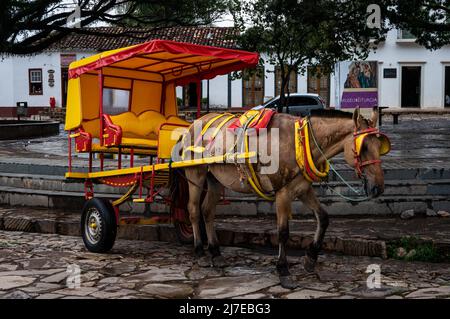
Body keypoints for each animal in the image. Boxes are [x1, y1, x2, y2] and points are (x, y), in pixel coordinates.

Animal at [178, 107, 388, 290]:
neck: (301, 141)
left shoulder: (302, 189)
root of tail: (193, 122)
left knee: (207, 211)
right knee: (194, 210)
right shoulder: (283, 194)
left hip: (215, 179)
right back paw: (200, 252)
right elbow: (283, 232)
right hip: (195, 173)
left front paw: (311, 258)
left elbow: (323, 218)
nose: (378, 188)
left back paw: (215, 252)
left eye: (380, 146)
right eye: (364, 147)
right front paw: (283, 270)